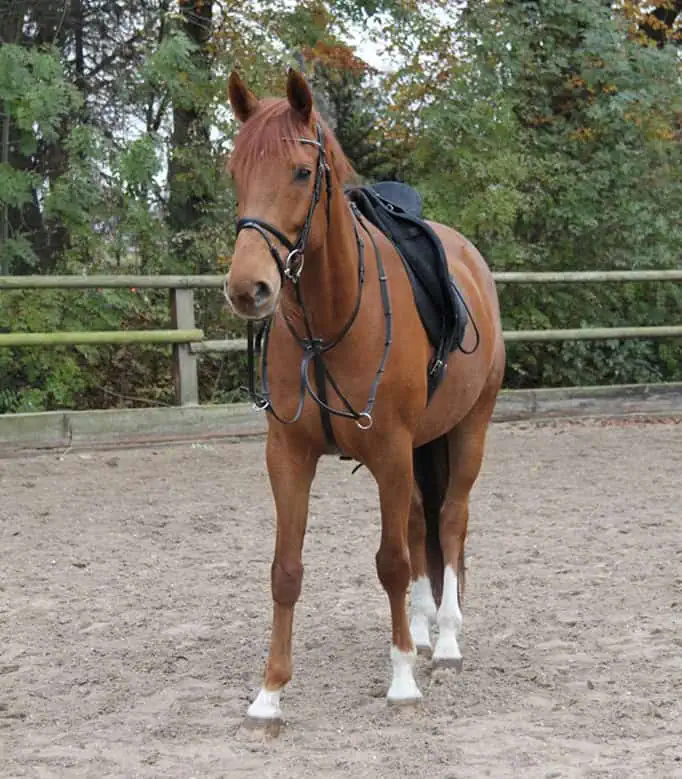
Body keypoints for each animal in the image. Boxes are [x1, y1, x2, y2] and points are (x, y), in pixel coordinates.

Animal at [224, 70, 504, 728]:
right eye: (235, 172)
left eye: (301, 172)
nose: (249, 289)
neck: (328, 322)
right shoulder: (289, 456)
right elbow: (286, 570)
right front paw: (269, 693)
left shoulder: (391, 452)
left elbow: (392, 562)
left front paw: (401, 680)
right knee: (422, 521)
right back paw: (423, 629)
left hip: (468, 431)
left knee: (450, 521)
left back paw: (444, 641)